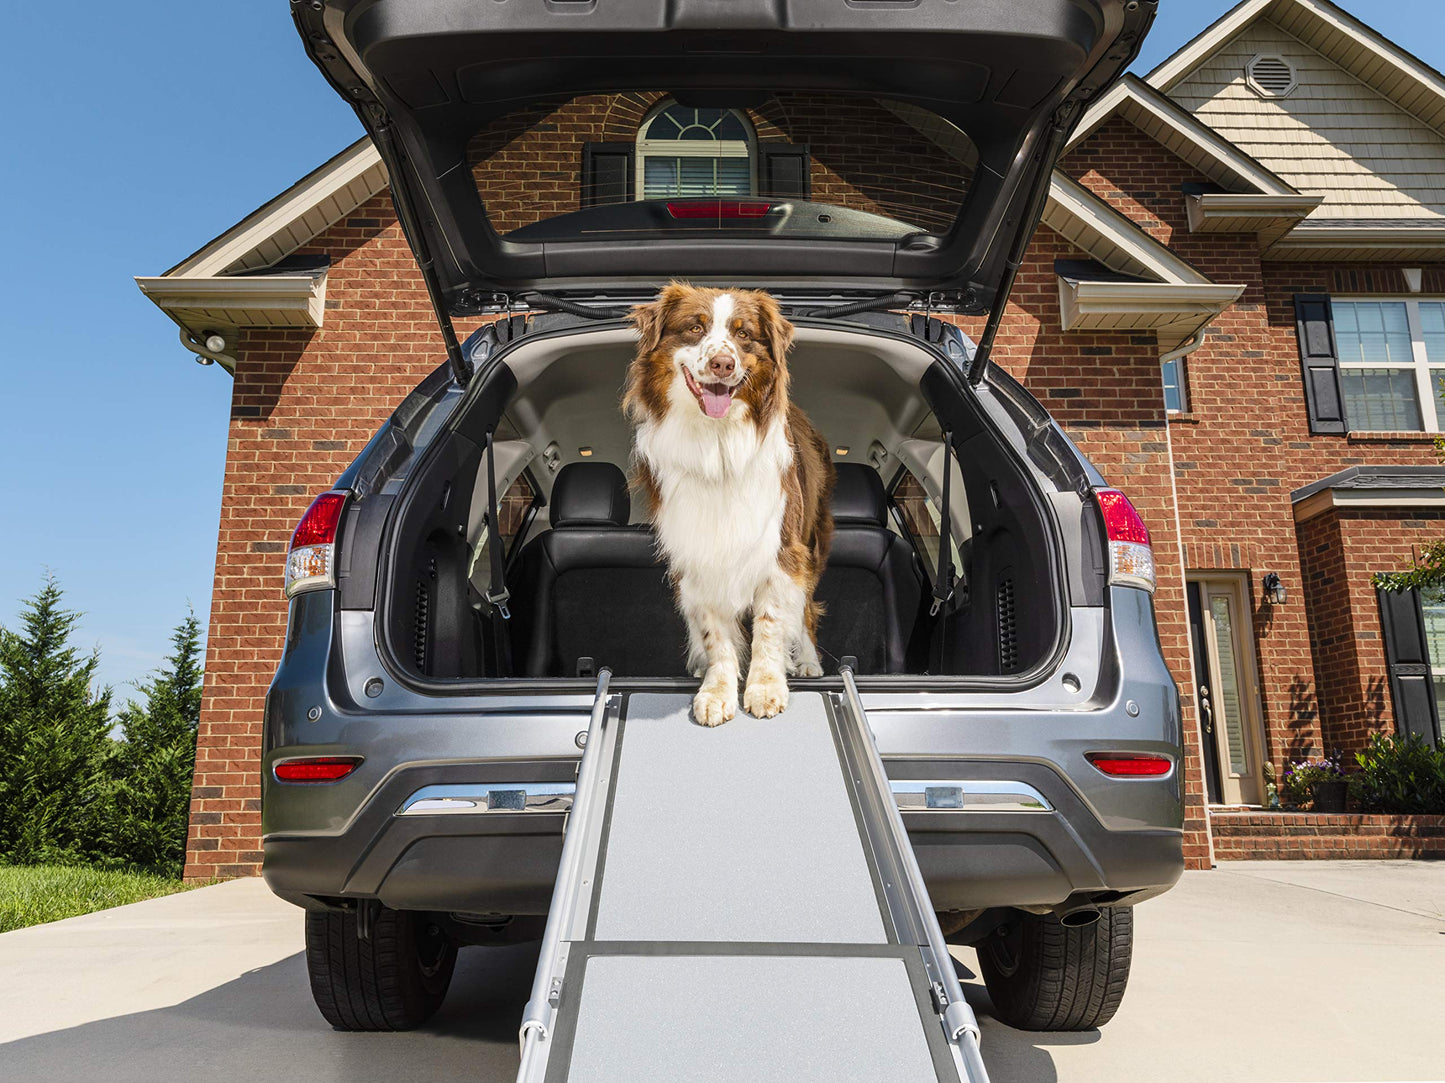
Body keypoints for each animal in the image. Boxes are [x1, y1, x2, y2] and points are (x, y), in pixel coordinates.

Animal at [621, 283, 838, 722]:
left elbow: (770, 624)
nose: (722, 363)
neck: (716, 441)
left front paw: (767, 686)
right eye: (695, 328)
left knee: (806, 607)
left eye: (743, 334)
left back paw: (807, 660)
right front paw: (717, 689)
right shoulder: (699, 552)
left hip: (813, 540)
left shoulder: (781, 549)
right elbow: (715, 634)